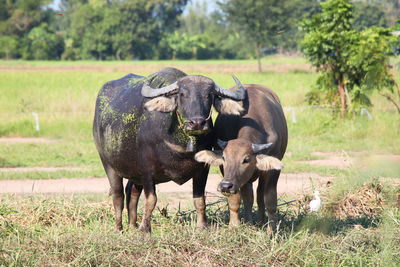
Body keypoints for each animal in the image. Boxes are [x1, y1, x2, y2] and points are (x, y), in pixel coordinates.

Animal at [92, 68, 245, 233]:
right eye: (182, 94)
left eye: (209, 95)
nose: (197, 123)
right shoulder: (146, 170)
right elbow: (151, 199)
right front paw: (145, 229)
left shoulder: (203, 169)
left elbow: (199, 199)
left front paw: (202, 226)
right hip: (108, 164)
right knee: (118, 194)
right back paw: (119, 228)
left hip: (134, 174)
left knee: (132, 192)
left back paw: (133, 225)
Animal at [195, 82, 286, 231]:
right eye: (224, 158)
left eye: (246, 159)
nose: (225, 186)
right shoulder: (227, 173)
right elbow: (235, 199)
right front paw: (234, 225)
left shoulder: (273, 169)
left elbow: (270, 199)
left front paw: (272, 230)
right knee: (248, 195)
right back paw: (249, 221)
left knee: (259, 195)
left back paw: (260, 221)